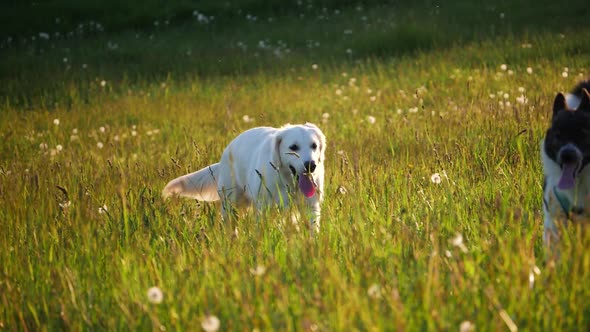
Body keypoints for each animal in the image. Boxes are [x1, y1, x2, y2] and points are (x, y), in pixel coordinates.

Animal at [164, 123, 326, 230]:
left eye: (314, 146)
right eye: (293, 147)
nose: (311, 165)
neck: (288, 183)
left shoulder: (311, 207)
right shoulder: (264, 208)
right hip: (230, 204)